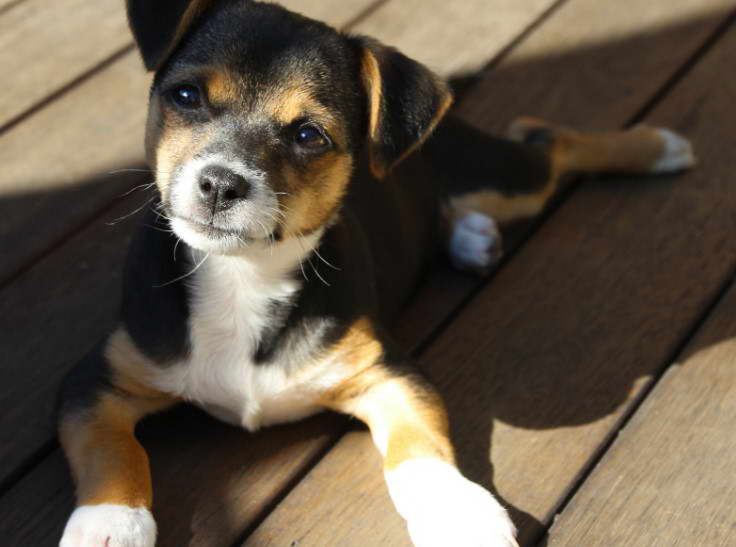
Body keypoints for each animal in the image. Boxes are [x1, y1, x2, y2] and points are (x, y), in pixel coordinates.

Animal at [57, 2, 696, 544]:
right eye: (186, 95)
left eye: (308, 134)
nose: (219, 184)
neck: (243, 278)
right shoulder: (96, 382)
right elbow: (115, 453)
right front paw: (109, 524)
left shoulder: (388, 373)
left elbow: (420, 446)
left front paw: (459, 513)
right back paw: (474, 235)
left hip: (508, 179)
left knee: (546, 138)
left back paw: (659, 147)